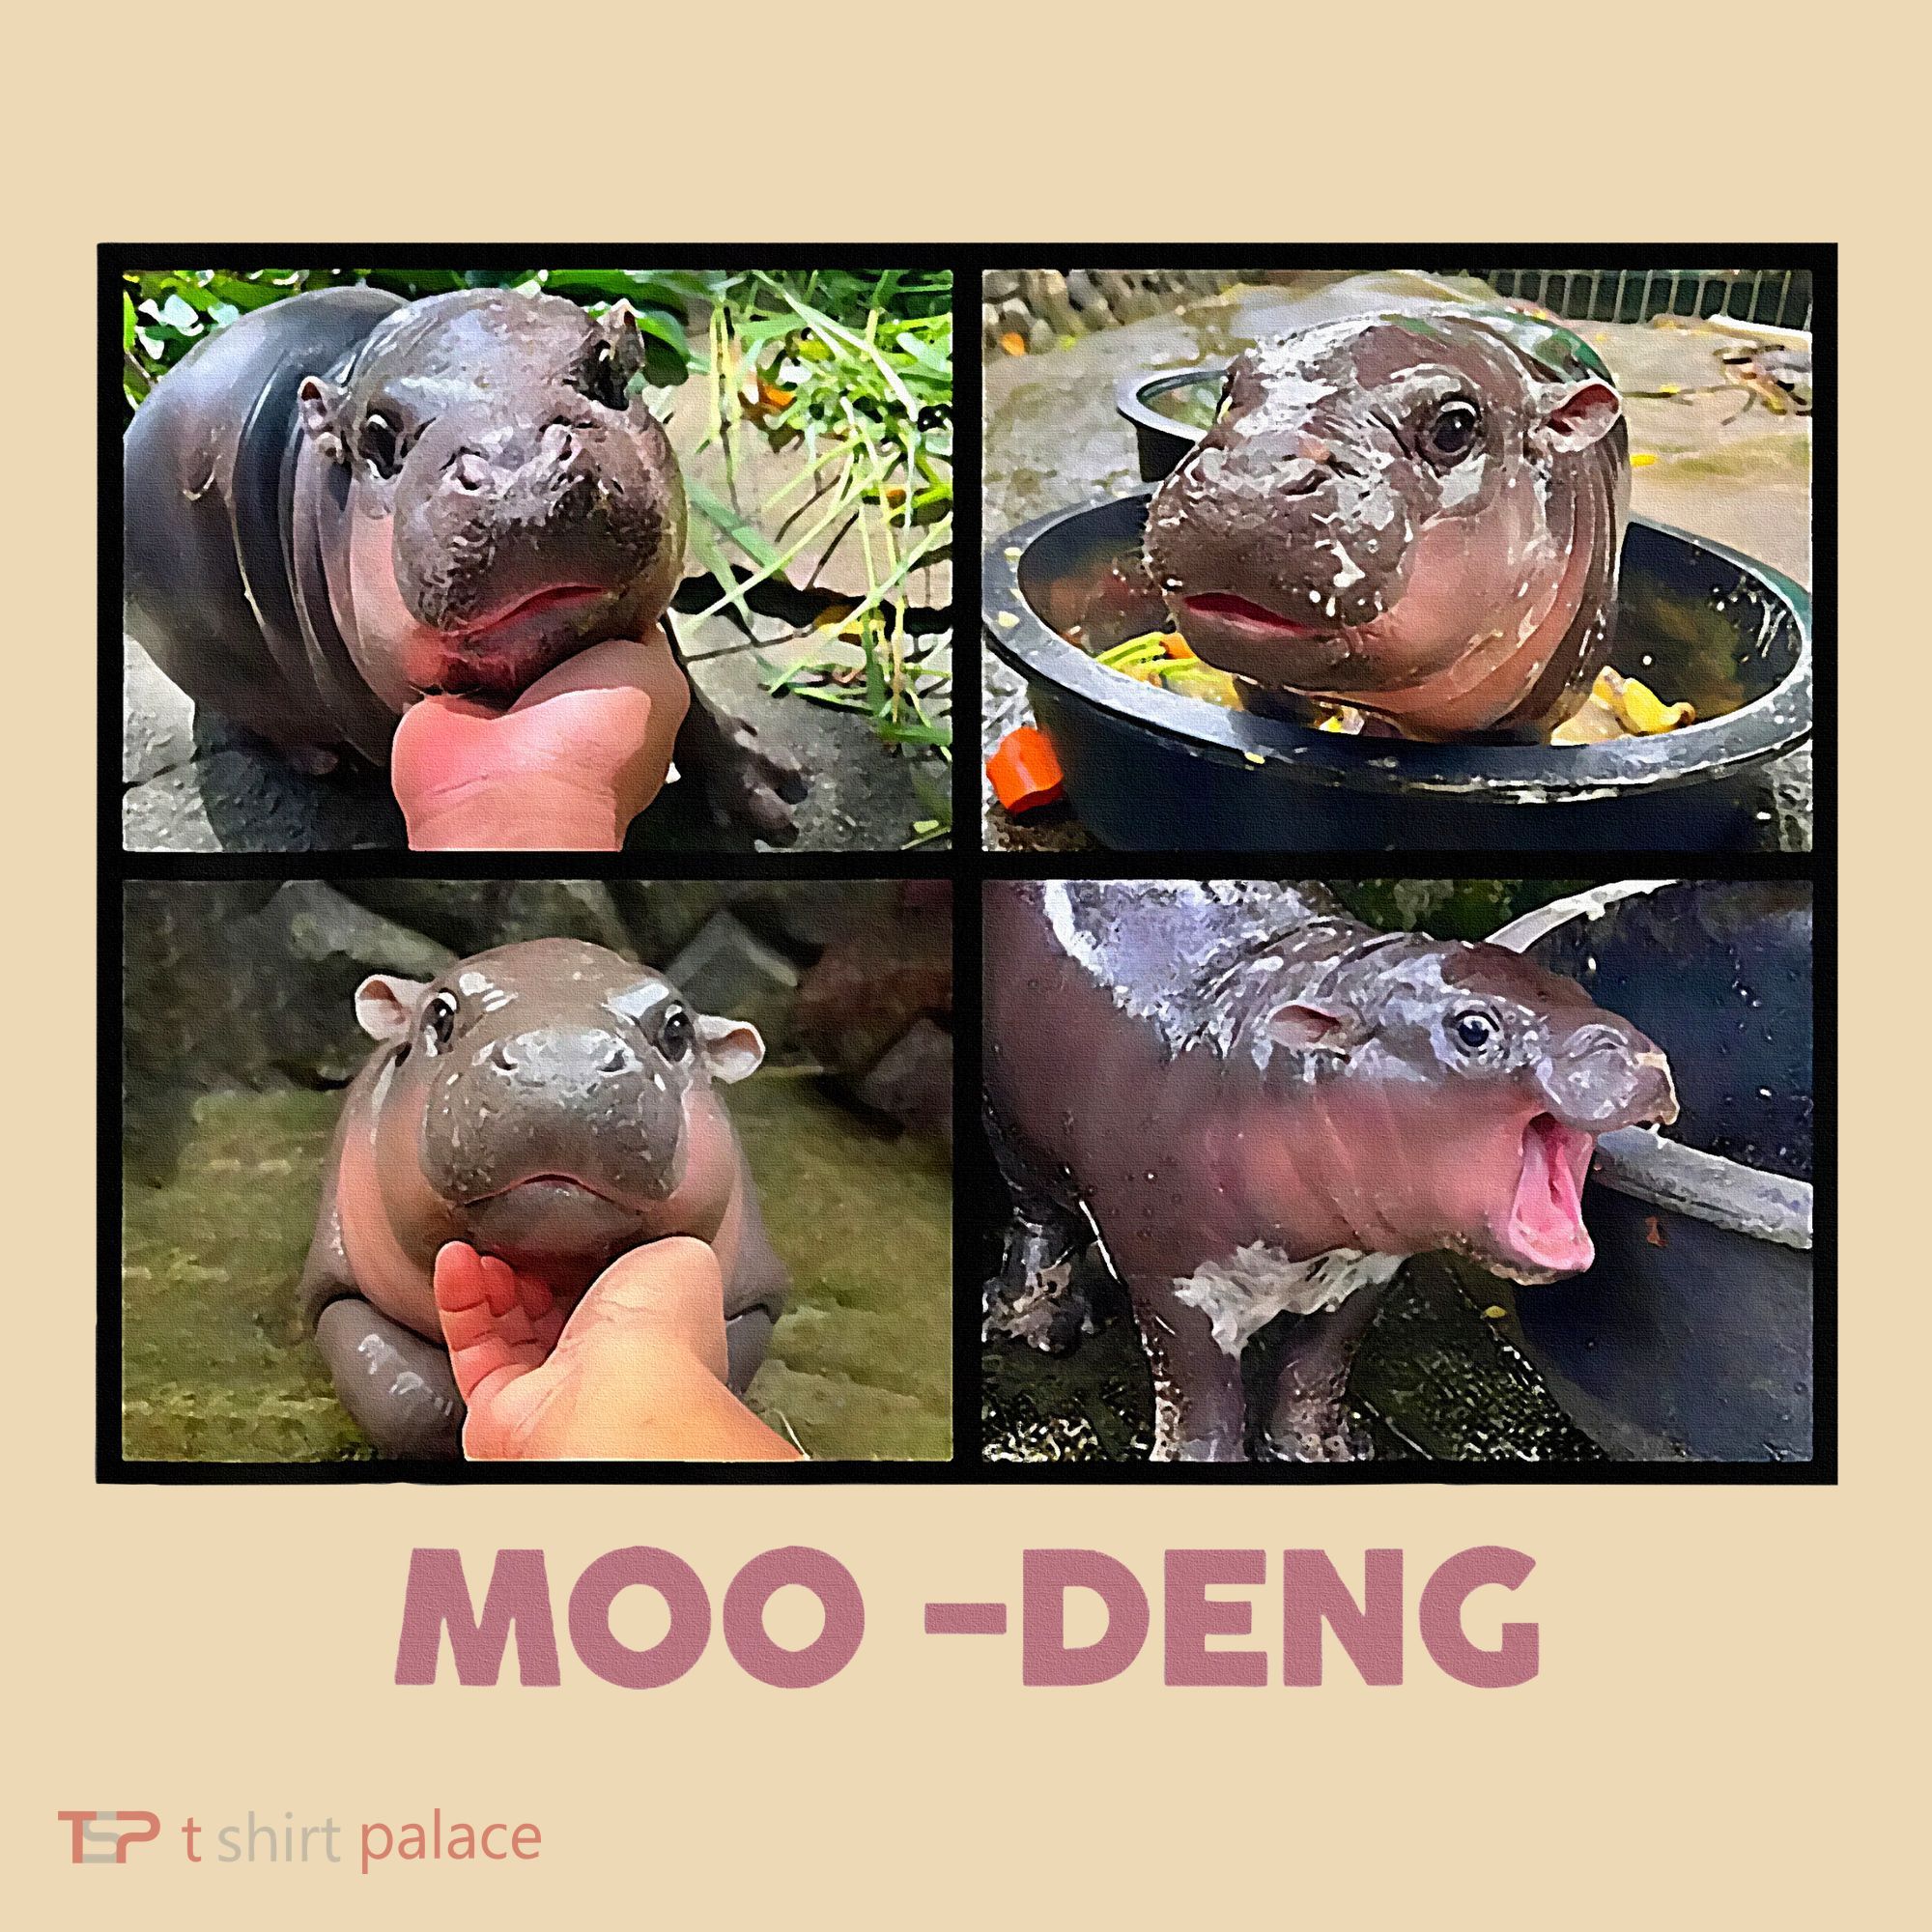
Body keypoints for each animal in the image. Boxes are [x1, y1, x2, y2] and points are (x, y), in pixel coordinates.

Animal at [124, 286, 806, 847]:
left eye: (608, 368)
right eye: (377, 433)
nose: (521, 470)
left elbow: (688, 693)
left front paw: (774, 794)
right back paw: (321, 763)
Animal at [300, 938, 790, 1456]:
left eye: (678, 1029)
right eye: (440, 1014)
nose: (560, 1066)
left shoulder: (757, 1297)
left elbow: (731, 1365)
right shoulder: (334, 1285)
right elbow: (403, 1397)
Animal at [982, 881, 1678, 1462]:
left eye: (1581, 992)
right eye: (1475, 1029)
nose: (1633, 1051)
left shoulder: (1368, 1267)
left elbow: (1317, 1367)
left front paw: (1323, 1453)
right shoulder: (1170, 1279)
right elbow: (1200, 1395)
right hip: (1012, 1135)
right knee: (1038, 1220)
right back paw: (1037, 1325)